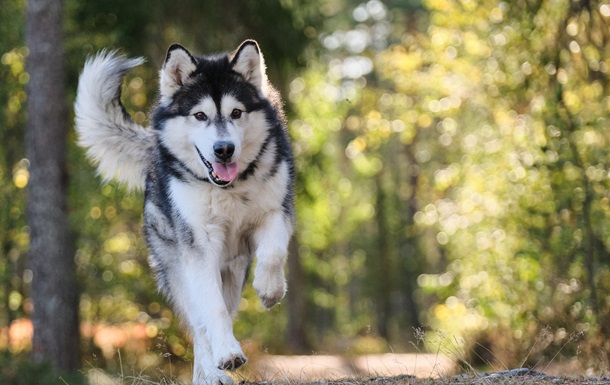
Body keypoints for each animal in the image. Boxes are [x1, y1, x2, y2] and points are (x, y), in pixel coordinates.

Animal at [75, 40, 294, 382]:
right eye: (200, 115)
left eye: (236, 113)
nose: (224, 149)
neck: (228, 189)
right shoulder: (199, 248)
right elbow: (213, 311)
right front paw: (227, 355)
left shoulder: (276, 212)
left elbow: (272, 253)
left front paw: (270, 290)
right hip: (181, 269)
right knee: (201, 325)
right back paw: (214, 372)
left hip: (232, 272)